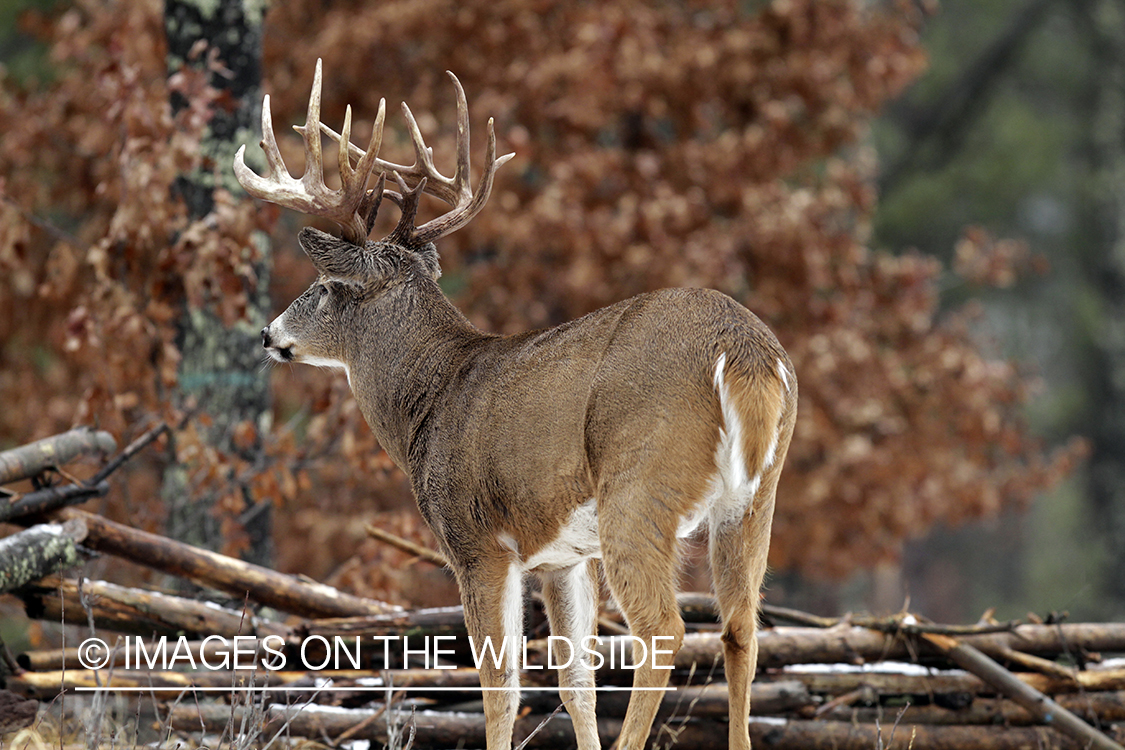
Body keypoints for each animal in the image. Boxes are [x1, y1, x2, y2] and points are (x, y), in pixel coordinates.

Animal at [235, 61, 801, 746]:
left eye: (324, 286)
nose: (268, 334)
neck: (430, 400)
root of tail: (745, 351)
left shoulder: (474, 539)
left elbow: (500, 684)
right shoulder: (563, 557)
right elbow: (576, 682)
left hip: (640, 485)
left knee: (663, 631)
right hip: (754, 500)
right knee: (740, 628)